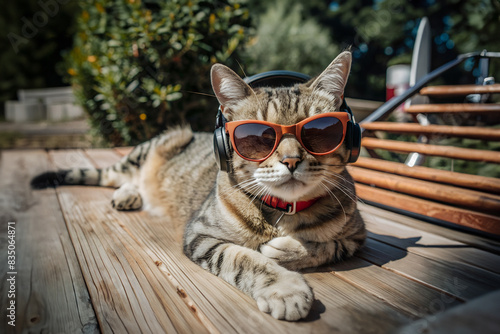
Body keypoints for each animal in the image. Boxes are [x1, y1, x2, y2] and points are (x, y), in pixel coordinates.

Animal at [32, 50, 368, 320]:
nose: (291, 160)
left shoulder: (356, 237)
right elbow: (245, 259)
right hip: (152, 148)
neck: (281, 213)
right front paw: (285, 288)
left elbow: (325, 246)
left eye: (319, 131)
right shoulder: (201, 235)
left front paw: (285, 248)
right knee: (115, 176)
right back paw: (126, 193)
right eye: (258, 137)